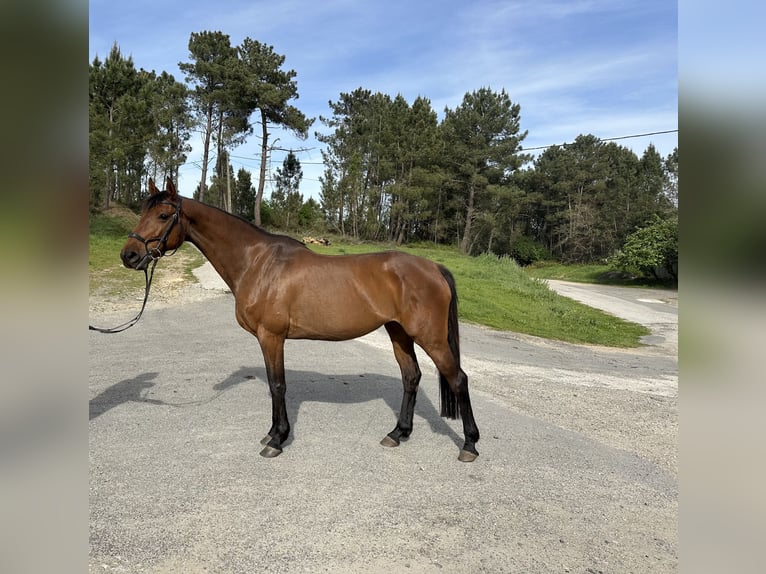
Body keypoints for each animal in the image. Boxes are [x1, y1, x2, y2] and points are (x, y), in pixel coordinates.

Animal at [120, 178, 480, 462]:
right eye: (142, 213)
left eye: (163, 215)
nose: (129, 255)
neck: (258, 263)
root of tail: (434, 268)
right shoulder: (267, 339)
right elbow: (273, 384)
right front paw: (271, 433)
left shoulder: (271, 336)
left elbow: (278, 385)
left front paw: (277, 440)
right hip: (399, 333)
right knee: (411, 377)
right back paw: (397, 433)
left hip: (431, 338)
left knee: (458, 379)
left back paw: (469, 445)